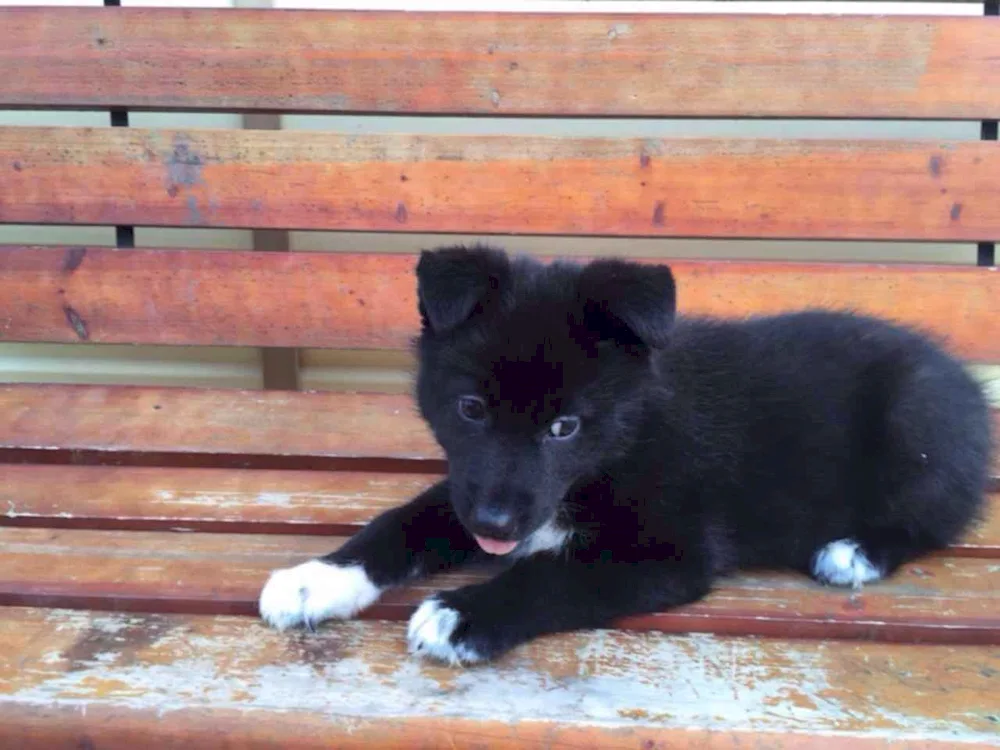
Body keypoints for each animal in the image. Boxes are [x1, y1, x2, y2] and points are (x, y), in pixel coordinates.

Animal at [260, 250, 992, 668]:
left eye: (565, 427)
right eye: (470, 409)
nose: (494, 528)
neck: (623, 439)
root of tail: (963, 380)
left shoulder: (668, 554)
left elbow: (555, 575)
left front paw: (463, 614)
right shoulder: (476, 487)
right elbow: (405, 519)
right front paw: (318, 576)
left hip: (918, 421)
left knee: (933, 519)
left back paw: (854, 551)